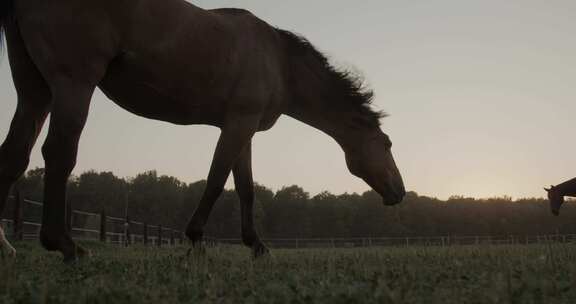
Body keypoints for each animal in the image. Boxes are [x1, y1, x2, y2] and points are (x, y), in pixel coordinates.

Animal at [0, 0, 404, 262]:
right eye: (386, 143)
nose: (399, 192)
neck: (279, 62)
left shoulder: (244, 129)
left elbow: (245, 189)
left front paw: (257, 246)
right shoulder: (237, 124)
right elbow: (216, 180)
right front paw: (195, 239)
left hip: (35, 90)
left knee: (15, 155)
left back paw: (6, 246)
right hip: (73, 84)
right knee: (58, 153)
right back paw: (65, 245)